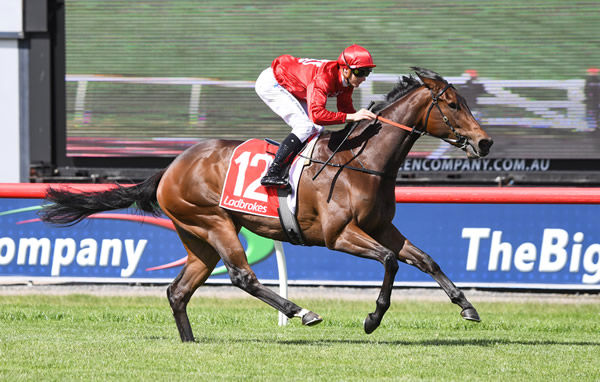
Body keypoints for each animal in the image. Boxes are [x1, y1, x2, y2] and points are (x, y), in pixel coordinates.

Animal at [41, 67, 492, 342]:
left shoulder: (382, 227)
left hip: (198, 238)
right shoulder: (338, 235)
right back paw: (301, 311)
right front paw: (372, 318)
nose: (485, 141)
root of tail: (169, 168)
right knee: (243, 277)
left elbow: (425, 259)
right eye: (453, 104)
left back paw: (190, 342)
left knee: (178, 291)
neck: (360, 161)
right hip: (215, 222)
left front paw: (468, 307)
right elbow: (390, 261)